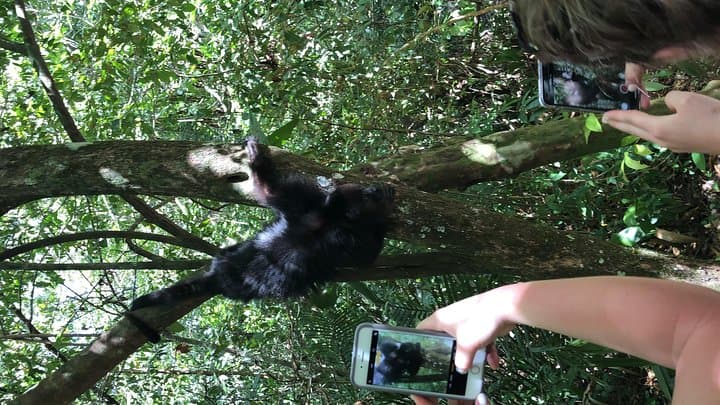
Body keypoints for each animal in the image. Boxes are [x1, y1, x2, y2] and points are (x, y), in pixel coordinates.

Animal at [127, 137, 394, 342]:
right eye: (366, 195)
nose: (378, 190)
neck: (333, 219)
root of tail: (221, 278)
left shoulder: (307, 205)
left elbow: (270, 192)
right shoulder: (318, 211)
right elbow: (364, 258)